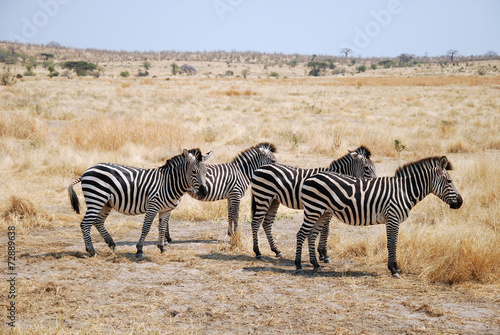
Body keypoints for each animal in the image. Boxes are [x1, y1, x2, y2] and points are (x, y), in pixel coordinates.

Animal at [68, 150, 209, 258]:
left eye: (205, 172)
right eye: (194, 172)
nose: (203, 192)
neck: (168, 182)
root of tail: (86, 171)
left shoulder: (166, 209)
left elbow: (162, 228)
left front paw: (162, 248)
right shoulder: (153, 205)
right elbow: (146, 228)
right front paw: (139, 249)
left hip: (105, 203)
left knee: (98, 222)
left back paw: (112, 245)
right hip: (96, 198)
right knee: (85, 223)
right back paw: (91, 251)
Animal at [294, 157, 462, 278]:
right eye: (449, 181)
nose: (460, 202)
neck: (404, 191)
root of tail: (311, 177)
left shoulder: (393, 219)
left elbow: (394, 243)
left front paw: (396, 267)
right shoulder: (392, 218)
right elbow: (392, 243)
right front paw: (393, 269)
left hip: (322, 212)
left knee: (311, 235)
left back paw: (316, 264)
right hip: (313, 209)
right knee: (301, 234)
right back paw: (298, 266)